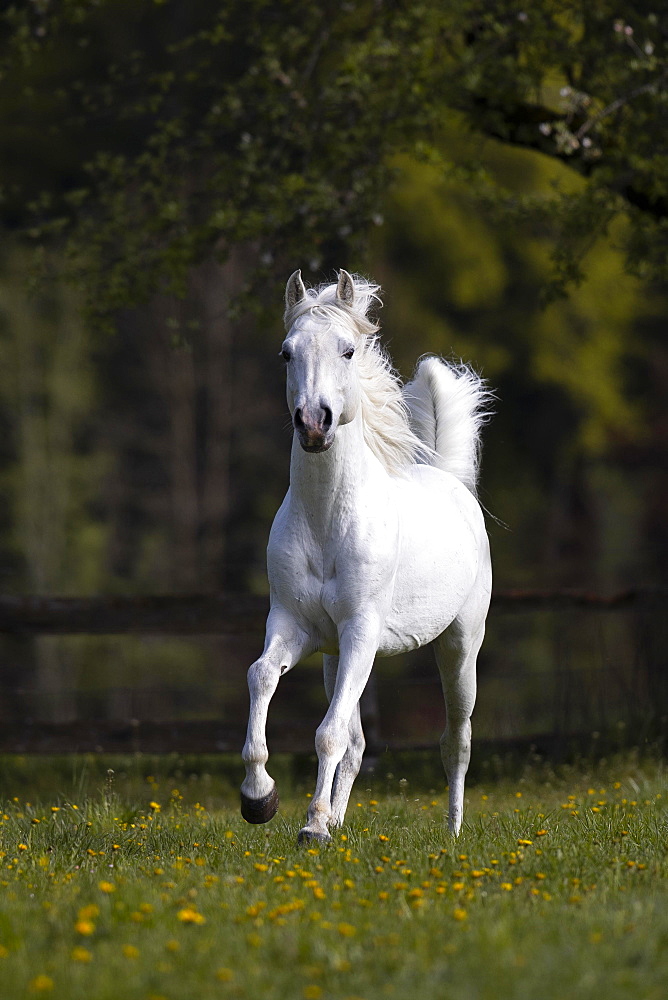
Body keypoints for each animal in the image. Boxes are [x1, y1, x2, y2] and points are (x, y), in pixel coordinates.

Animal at [240, 270, 490, 840]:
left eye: (349, 350)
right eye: (286, 353)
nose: (314, 423)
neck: (326, 520)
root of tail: (452, 481)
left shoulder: (361, 631)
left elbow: (327, 734)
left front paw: (311, 828)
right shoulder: (295, 627)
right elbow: (261, 676)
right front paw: (259, 799)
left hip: (459, 646)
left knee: (456, 740)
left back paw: (452, 833)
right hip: (336, 657)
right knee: (357, 744)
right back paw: (336, 818)